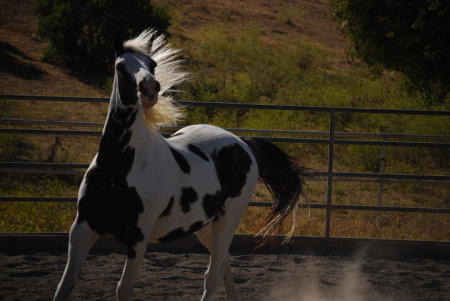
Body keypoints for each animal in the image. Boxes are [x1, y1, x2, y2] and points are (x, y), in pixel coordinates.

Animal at [53, 28, 306, 300]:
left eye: (152, 64)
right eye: (120, 67)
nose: (150, 88)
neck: (117, 169)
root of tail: (243, 143)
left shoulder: (138, 238)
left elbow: (124, 289)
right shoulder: (82, 229)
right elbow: (65, 285)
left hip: (228, 221)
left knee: (212, 275)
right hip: (206, 227)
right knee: (224, 267)